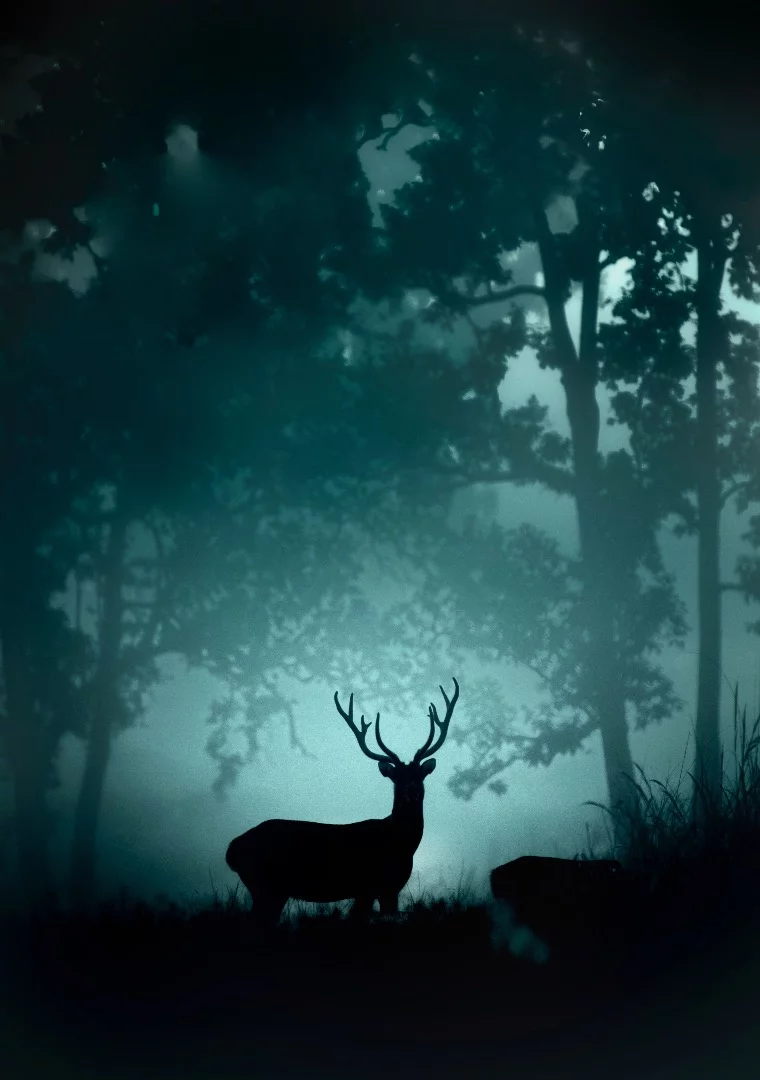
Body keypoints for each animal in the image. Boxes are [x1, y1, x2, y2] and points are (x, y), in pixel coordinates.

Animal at [225, 678, 459, 925]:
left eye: (419, 775)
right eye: (397, 778)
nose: (411, 791)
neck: (400, 843)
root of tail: (232, 850)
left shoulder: (391, 889)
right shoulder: (367, 886)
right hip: (265, 884)